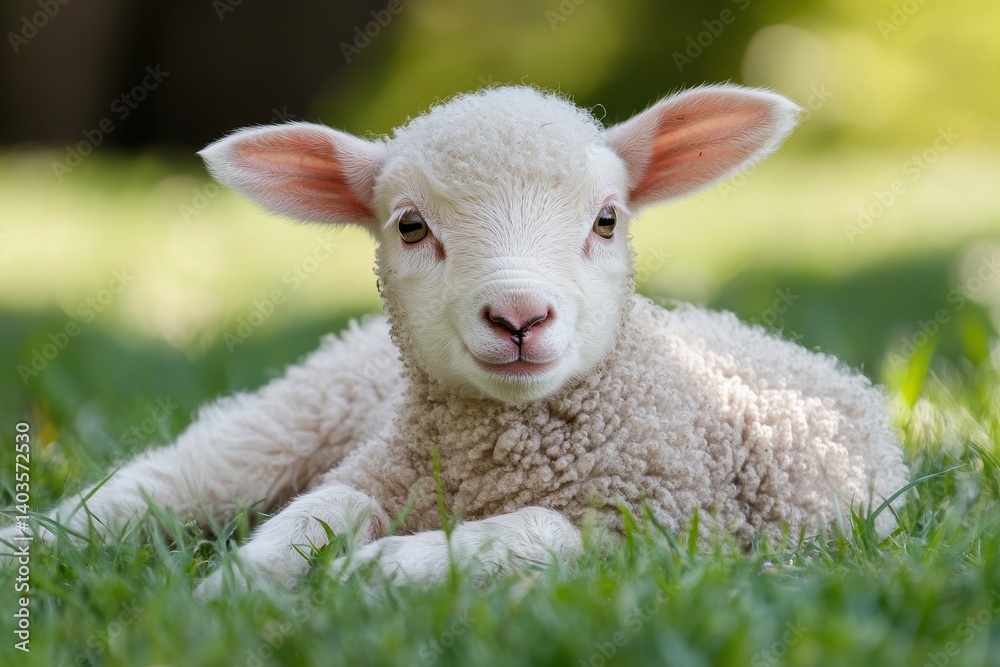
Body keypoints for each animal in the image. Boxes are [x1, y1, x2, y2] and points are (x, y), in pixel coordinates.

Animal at [1, 84, 910, 598]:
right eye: (410, 226)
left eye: (607, 219)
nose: (518, 316)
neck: (497, 455)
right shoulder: (383, 465)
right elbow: (324, 508)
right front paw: (247, 578)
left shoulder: (667, 526)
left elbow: (536, 532)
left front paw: (382, 570)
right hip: (285, 420)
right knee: (147, 491)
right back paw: (24, 546)